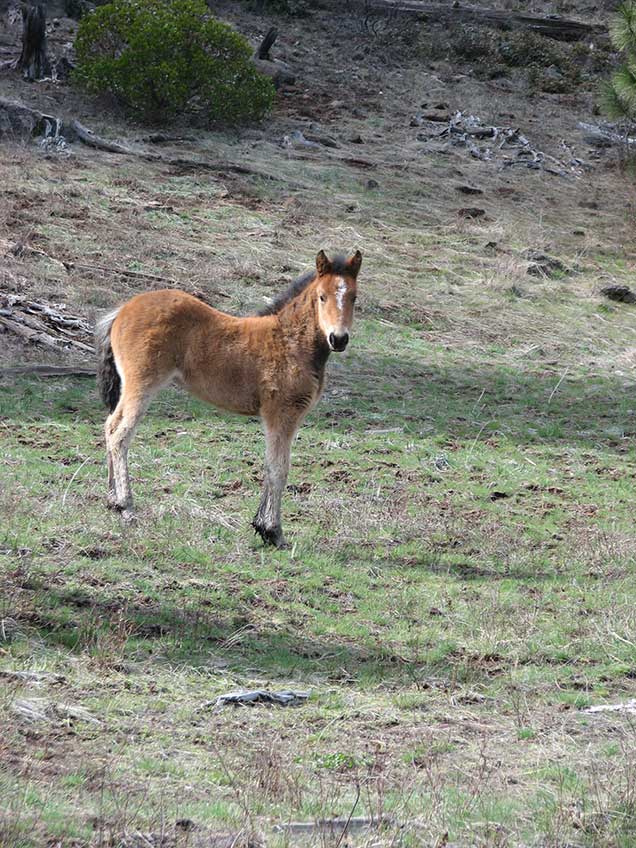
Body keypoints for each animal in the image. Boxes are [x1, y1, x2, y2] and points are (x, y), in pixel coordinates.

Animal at [94, 248, 362, 548]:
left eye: (354, 297)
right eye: (322, 296)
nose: (338, 339)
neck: (291, 341)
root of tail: (122, 310)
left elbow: (270, 464)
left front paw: (261, 526)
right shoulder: (280, 414)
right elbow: (279, 468)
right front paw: (273, 531)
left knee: (110, 426)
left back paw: (112, 500)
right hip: (141, 385)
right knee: (120, 435)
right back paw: (126, 507)